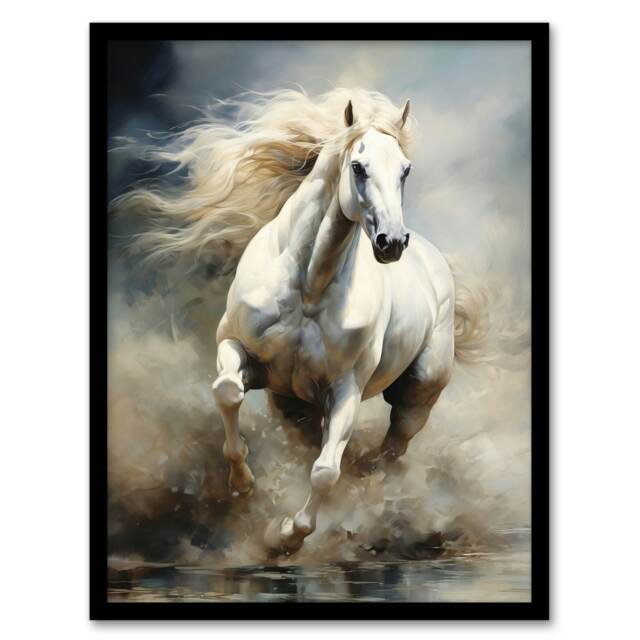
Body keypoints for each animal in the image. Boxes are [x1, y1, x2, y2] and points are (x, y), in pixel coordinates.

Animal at [116, 88, 486, 556]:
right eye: (358, 167)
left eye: (405, 169)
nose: (392, 242)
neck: (308, 288)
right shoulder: (237, 349)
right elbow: (227, 392)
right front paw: (243, 484)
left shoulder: (345, 390)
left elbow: (325, 471)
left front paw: (286, 536)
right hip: (294, 404)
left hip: (416, 397)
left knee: (389, 453)